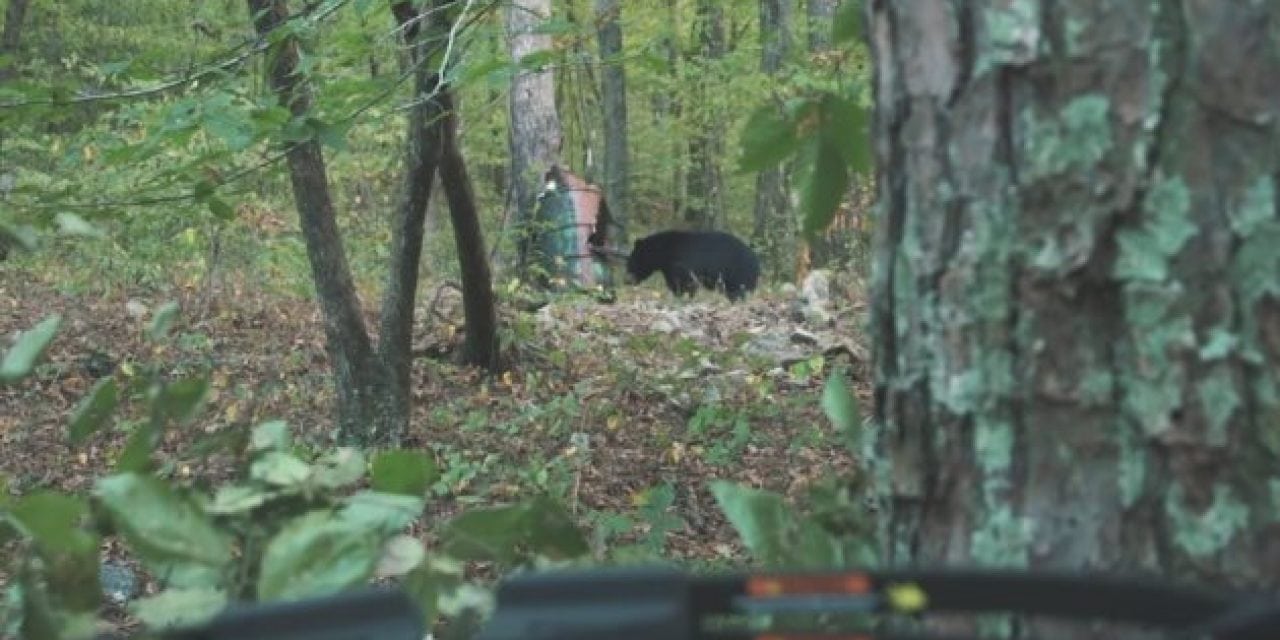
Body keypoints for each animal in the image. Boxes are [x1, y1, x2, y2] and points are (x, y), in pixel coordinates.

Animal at [627, 230, 757, 299]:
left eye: (631, 262)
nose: (626, 281)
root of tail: (756, 261)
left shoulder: (682, 265)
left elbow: (686, 284)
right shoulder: (669, 269)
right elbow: (675, 284)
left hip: (738, 274)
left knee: (738, 291)